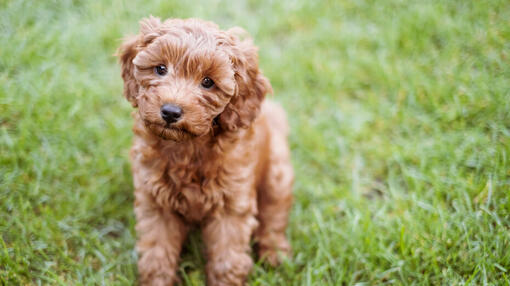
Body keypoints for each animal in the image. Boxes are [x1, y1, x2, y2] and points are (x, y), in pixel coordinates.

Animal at [115, 16, 290, 284]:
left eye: (208, 82)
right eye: (160, 69)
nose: (170, 111)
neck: (187, 146)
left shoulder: (231, 205)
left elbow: (227, 260)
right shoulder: (155, 203)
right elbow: (157, 254)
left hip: (277, 175)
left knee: (274, 216)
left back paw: (274, 254)